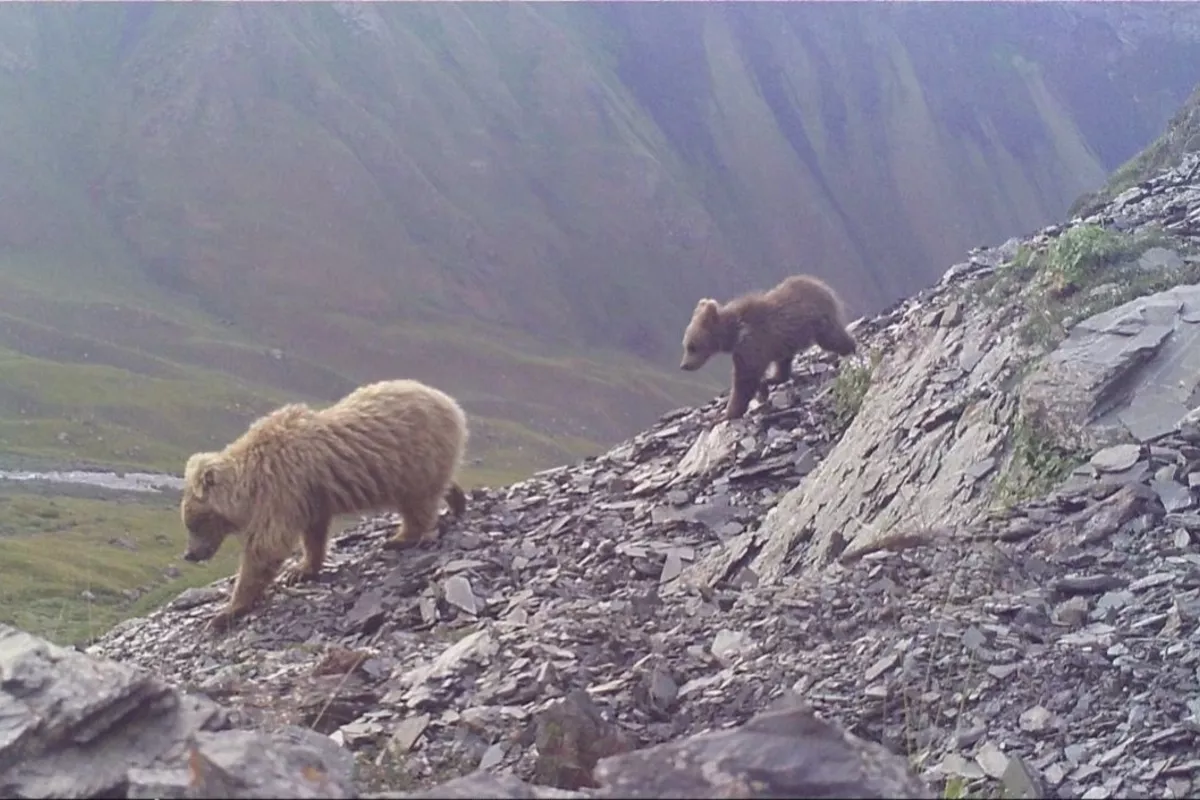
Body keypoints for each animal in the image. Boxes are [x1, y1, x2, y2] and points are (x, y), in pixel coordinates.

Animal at [180, 378, 469, 633]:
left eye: (194, 523)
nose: (190, 554)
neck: (250, 484)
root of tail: (450, 403)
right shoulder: (307, 496)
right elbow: (313, 533)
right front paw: (301, 569)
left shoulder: (280, 490)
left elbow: (266, 548)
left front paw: (225, 612)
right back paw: (457, 502)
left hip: (412, 459)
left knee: (416, 502)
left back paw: (400, 538)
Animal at [679, 274, 857, 421]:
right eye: (685, 345)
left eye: (692, 346)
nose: (684, 365)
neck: (735, 333)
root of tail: (822, 285)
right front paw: (762, 390)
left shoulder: (751, 345)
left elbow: (744, 380)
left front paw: (726, 413)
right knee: (783, 363)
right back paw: (772, 379)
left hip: (820, 323)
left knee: (834, 339)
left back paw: (851, 350)